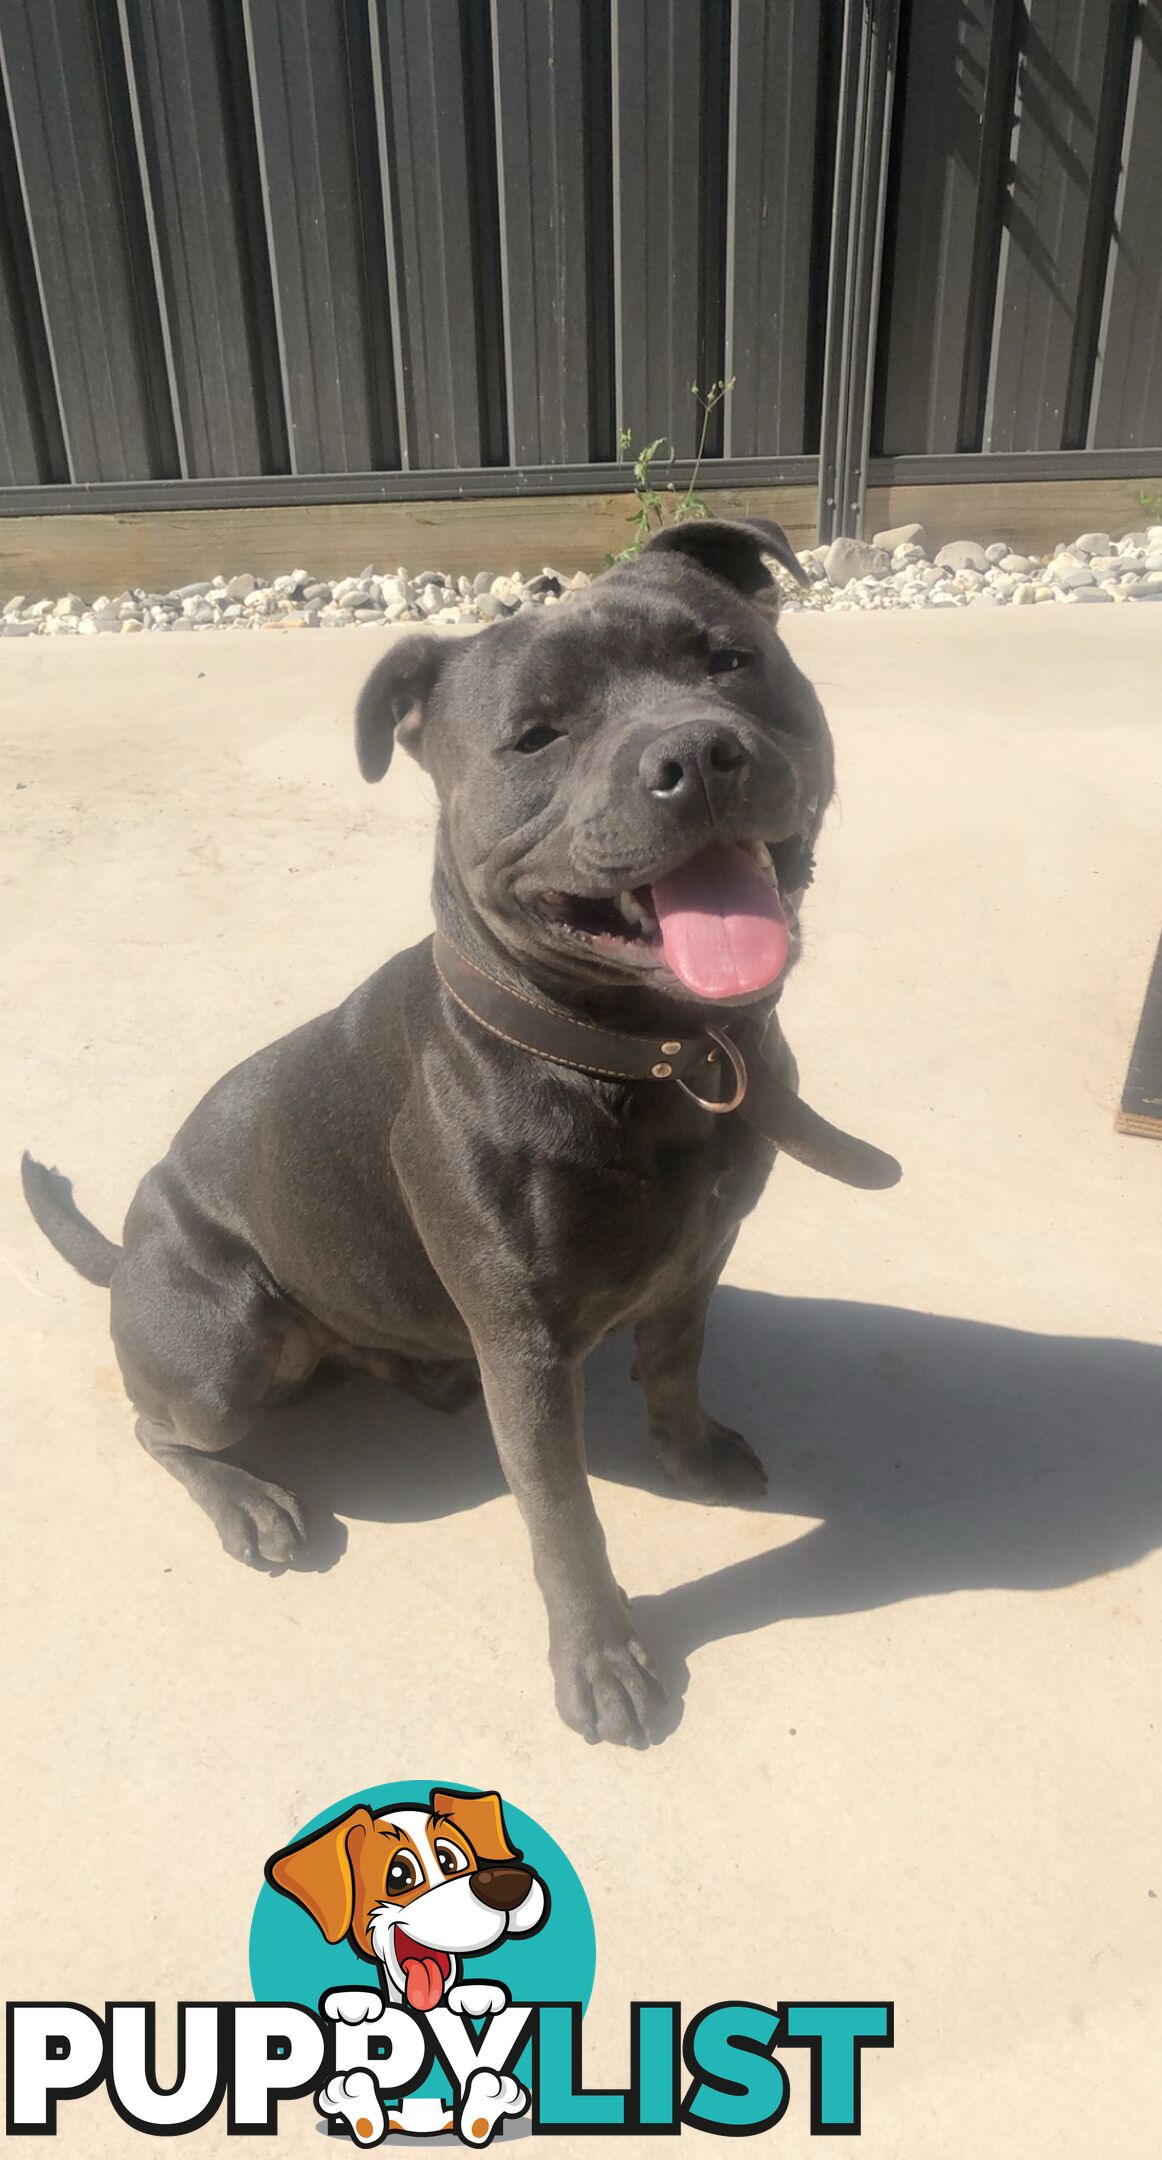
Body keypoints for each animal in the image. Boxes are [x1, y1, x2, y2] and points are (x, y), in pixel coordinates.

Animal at [24, 514, 894, 1745]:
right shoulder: (524, 1352)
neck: (642, 1057)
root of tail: (127, 1253)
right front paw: (601, 1659)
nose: (696, 754)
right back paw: (246, 1501)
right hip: (222, 1347)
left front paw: (688, 1455)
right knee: (163, 1430)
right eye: (535, 736)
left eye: (729, 660)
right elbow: (563, 1516)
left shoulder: (697, 1259)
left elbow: (673, 1364)